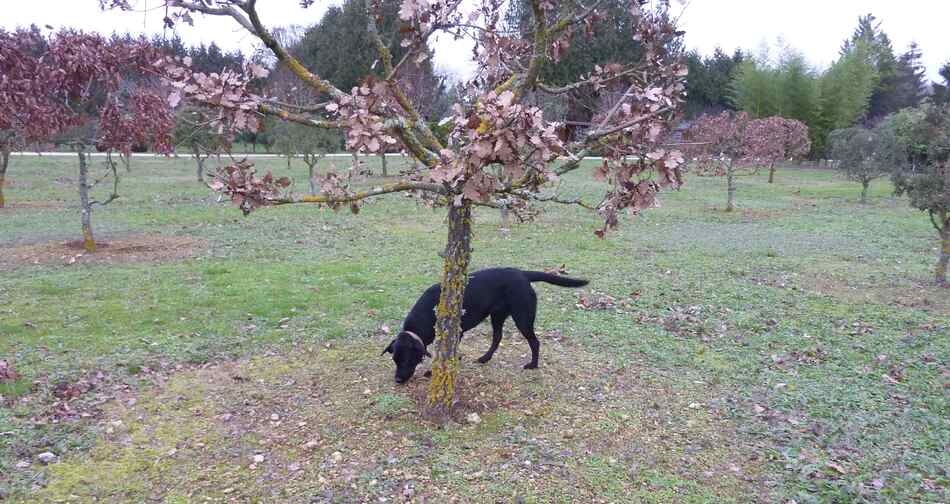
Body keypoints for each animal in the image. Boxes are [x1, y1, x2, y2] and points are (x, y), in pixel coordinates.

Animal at [380, 268, 588, 382]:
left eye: (407, 360)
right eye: (395, 360)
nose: (397, 380)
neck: (429, 312)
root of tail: (521, 273)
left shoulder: (456, 332)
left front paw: (435, 370)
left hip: (523, 317)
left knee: (534, 342)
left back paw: (533, 365)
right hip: (497, 315)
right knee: (497, 337)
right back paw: (484, 358)